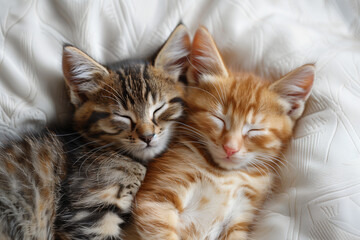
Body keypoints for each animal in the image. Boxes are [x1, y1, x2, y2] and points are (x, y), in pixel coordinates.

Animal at [132, 26, 316, 240]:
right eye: (218, 118)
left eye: (254, 129)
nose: (230, 148)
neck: (224, 175)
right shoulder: (155, 200)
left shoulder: (242, 215)